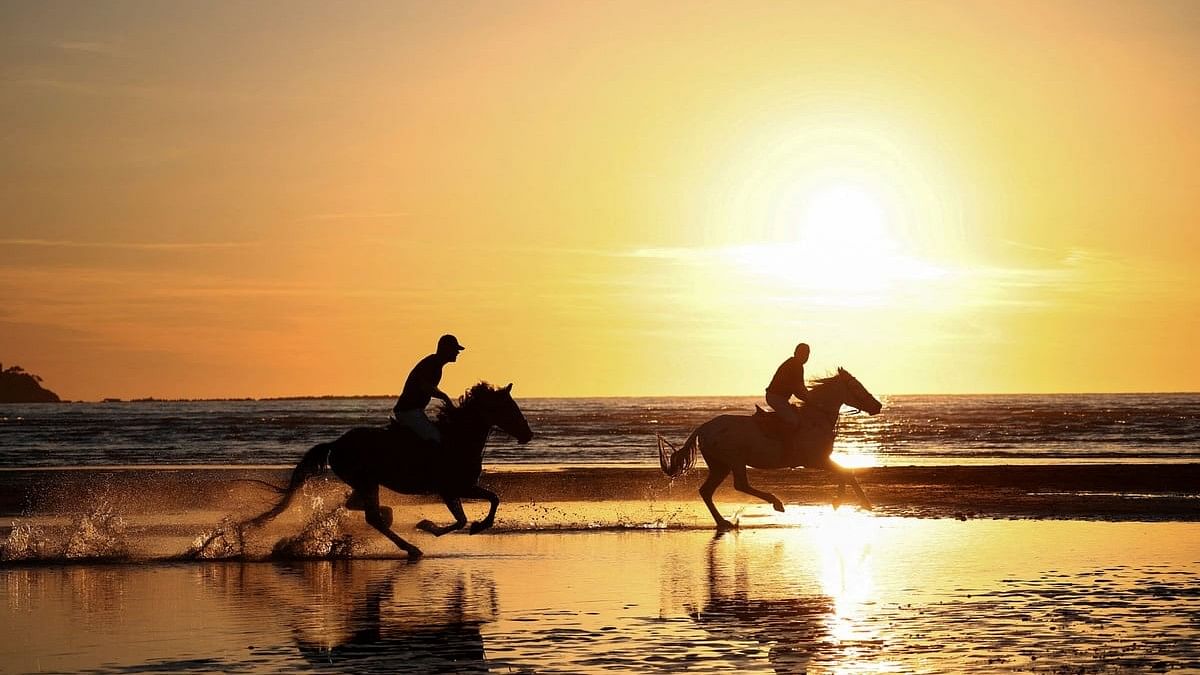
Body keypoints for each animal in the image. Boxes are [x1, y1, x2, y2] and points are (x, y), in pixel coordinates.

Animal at [241, 381, 532, 554]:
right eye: (509, 408)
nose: (528, 434)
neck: (457, 438)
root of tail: (336, 443)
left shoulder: (456, 489)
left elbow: (479, 508)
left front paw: (446, 526)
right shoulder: (454, 487)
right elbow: (483, 505)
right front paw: (435, 526)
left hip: (366, 483)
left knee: (363, 509)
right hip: (366, 481)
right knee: (373, 517)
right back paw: (410, 548)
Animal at [657, 365, 883, 528]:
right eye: (857, 386)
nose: (877, 406)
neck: (816, 418)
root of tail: (703, 428)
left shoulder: (822, 460)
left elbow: (846, 474)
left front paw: (853, 502)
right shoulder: (815, 460)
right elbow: (846, 472)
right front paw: (851, 503)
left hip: (720, 466)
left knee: (707, 491)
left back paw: (723, 522)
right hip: (734, 461)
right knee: (740, 485)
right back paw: (776, 503)